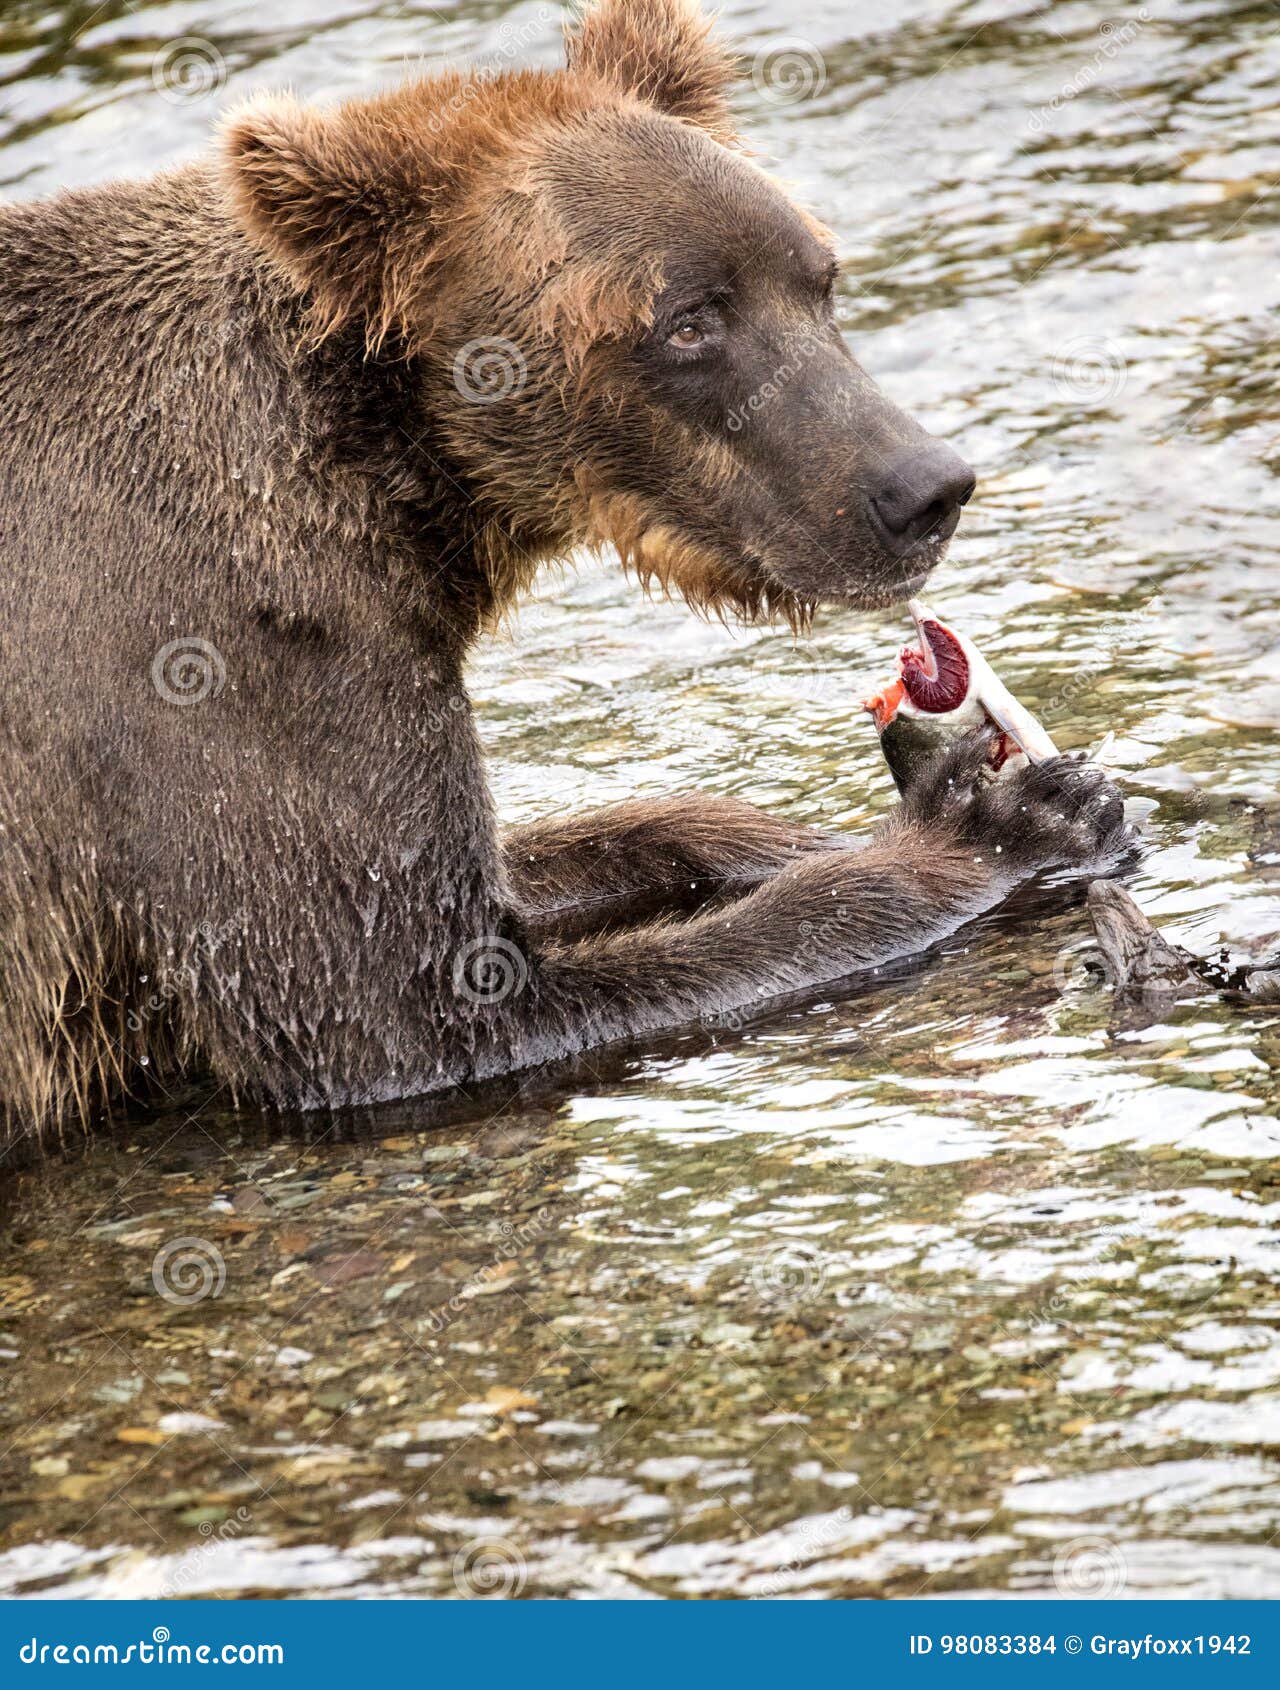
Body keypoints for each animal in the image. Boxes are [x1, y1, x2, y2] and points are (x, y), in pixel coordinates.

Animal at [0, 0, 1129, 1155]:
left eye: (818, 278)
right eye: (689, 319)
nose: (923, 487)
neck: (391, 480)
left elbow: (548, 856)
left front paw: (786, 831)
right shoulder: (215, 648)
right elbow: (408, 1004)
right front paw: (995, 824)